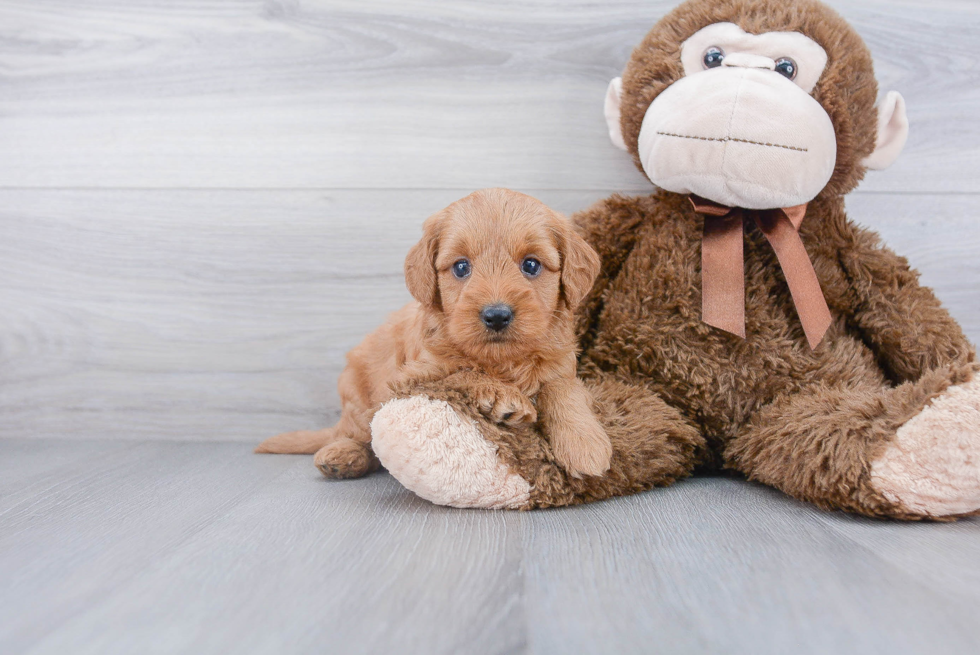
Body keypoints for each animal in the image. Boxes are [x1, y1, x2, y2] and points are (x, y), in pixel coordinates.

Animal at [260, 187, 612, 480]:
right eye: (461, 267)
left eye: (531, 265)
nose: (497, 315)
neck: (501, 361)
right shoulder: (411, 377)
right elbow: (460, 372)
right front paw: (503, 396)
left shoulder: (562, 364)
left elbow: (563, 390)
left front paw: (584, 444)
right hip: (358, 398)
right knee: (357, 434)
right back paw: (341, 455)